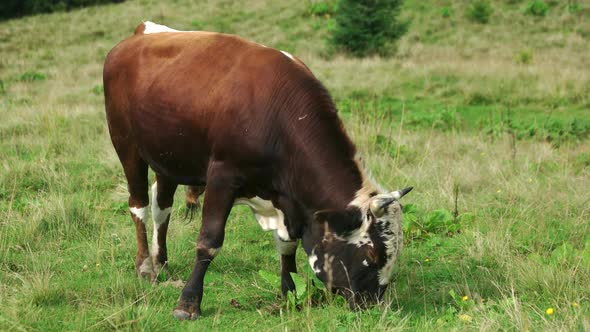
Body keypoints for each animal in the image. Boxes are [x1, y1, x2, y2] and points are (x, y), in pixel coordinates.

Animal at [104, 20, 414, 320]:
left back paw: (162, 263)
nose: (372, 304)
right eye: (372, 254)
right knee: (139, 205)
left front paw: (290, 295)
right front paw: (188, 303)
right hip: (126, 145)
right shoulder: (222, 175)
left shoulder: (286, 199)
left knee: (162, 207)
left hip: (168, 157)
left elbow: (287, 245)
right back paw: (145, 267)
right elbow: (209, 240)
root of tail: (140, 35)